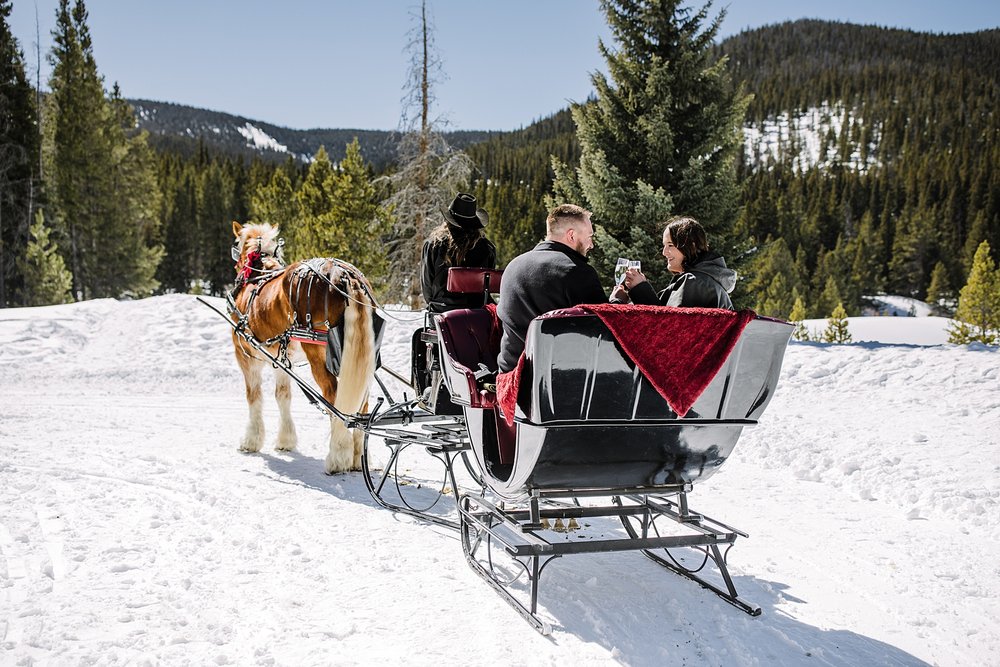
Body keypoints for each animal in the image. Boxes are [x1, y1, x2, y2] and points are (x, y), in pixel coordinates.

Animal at [229, 223, 376, 474]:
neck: (258, 274)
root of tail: (346, 276)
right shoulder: (280, 360)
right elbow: (283, 396)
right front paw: (285, 440)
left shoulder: (247, 357)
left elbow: (254, 397)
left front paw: (251, 440)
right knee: (361, 400)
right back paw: (357, 457)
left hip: (319, 354)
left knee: (334, 396)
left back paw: (338, 456)